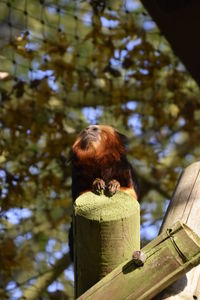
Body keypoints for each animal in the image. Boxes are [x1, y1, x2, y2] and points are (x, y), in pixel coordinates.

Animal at [69, 124, 139, 260]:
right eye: (84, 131)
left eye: (95, 129)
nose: (87, 130)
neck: (99, 159)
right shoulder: (77, 175)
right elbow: (79, 196)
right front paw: (97, 182)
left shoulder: (123, 167)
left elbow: (132, 193)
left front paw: (114, 184)